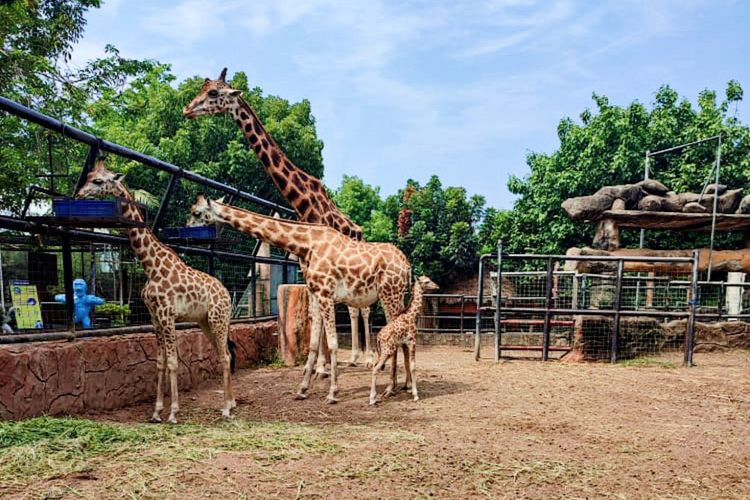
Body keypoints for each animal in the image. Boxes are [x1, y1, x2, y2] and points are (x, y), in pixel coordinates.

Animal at [188, 195, 412, 402]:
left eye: (196, 213)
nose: (188, 231)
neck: (307, 244)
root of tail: (406, 264)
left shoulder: (325, 294)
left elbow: (332, 344)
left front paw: (332, 393)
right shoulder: (317, 294)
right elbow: (313, 343)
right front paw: (302, 389)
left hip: (390, 293)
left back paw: (390, 388)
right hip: (395, 295)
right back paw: (406, 385)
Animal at [370, 278, 440, 406]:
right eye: (427, 281)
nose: (437, 286)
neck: (412, 315)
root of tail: (378, 337)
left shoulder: (404, 343)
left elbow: (407, 363)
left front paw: (408, 388)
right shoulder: (412, 341)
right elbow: (413, 366)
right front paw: (415, 395)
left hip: (385, 351)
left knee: (375, 366)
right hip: (388, 351)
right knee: (376, 368)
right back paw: (372, 400)